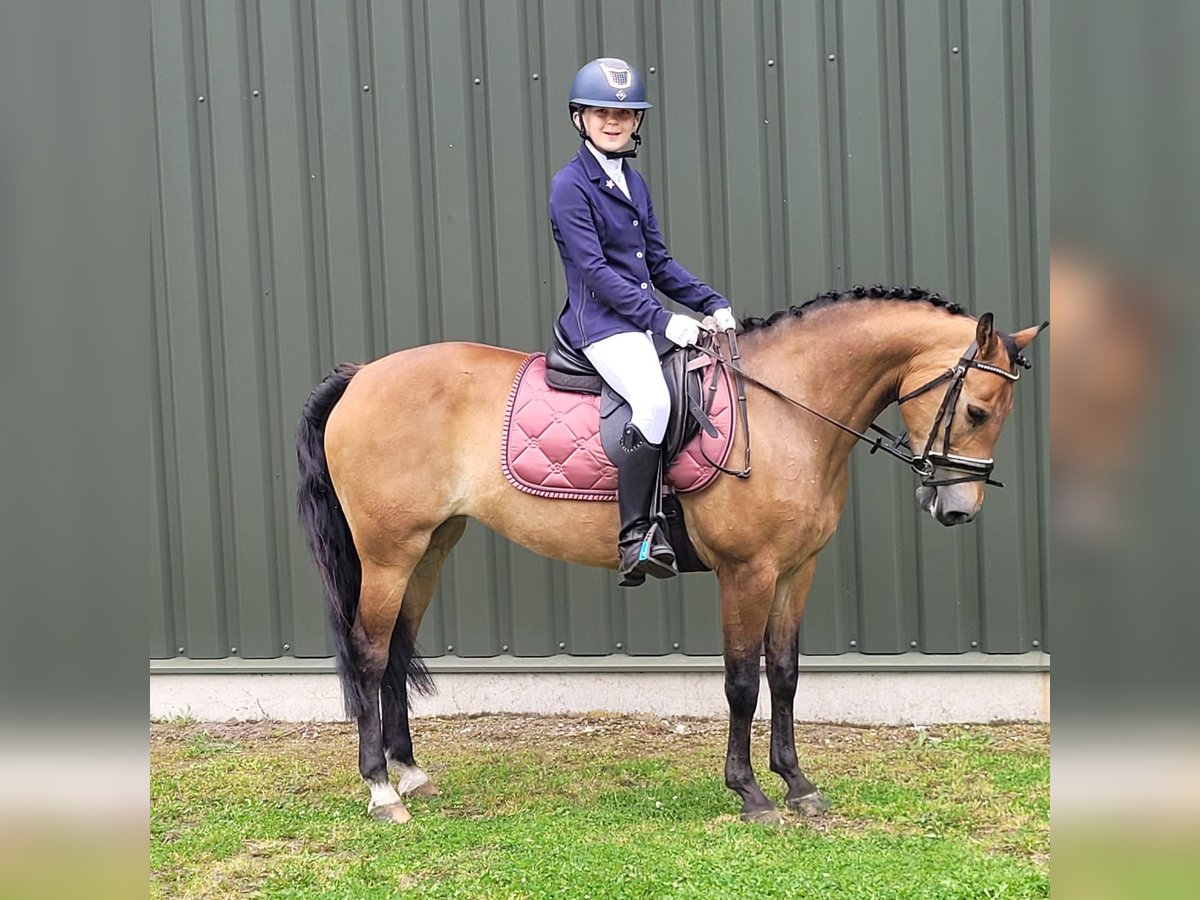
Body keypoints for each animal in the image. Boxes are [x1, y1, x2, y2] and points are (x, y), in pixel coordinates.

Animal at [296, 285, 1046, 825]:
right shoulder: (748, 573)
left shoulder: (796, 571)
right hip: (389, 552)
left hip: (431, 546)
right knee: (370, 652)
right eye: (977, 410)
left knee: (397, 648)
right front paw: (751, 795)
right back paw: (381, 792)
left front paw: (798, 783)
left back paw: (410, 774)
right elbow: (742, 683)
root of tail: (361, 376)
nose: (957, 510)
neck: (789, 409)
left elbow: (786, 675)